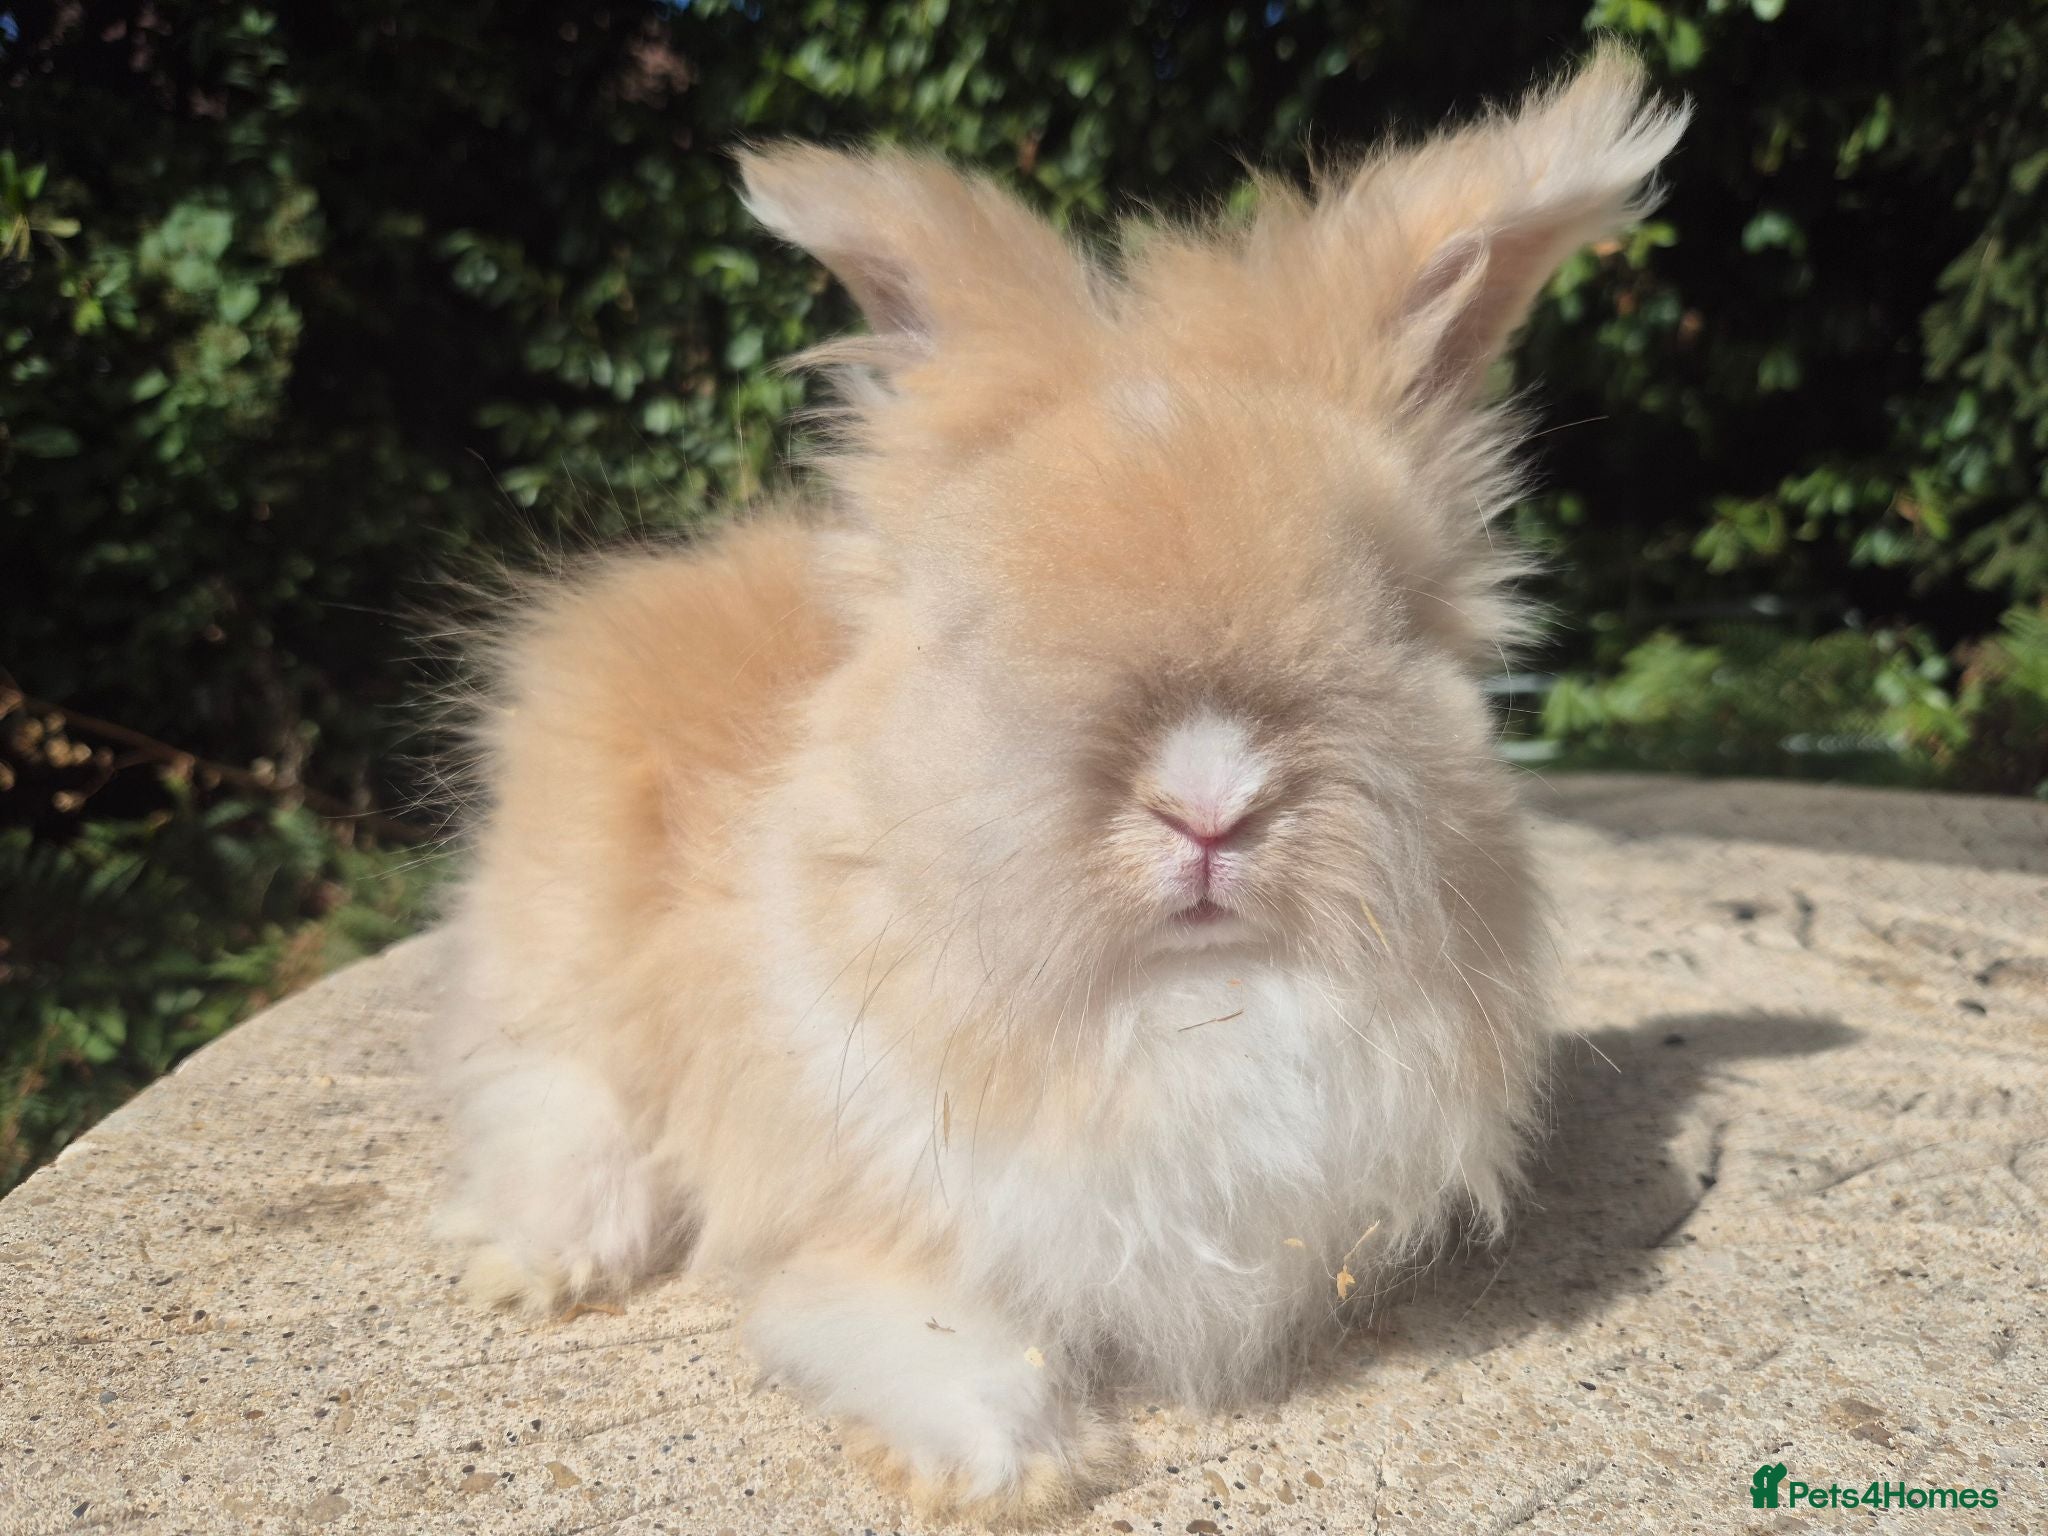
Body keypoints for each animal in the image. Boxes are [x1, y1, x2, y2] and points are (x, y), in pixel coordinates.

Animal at [435, 46, 1686, 1526]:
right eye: (987, 628)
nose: (1210, 803)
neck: (1181, 1014)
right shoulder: (864, 1203)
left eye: (1389, 618)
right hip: (563, 937)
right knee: (558, 1096)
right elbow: (915, 1322)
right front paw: (1016, 1466)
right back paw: (546, 1265)